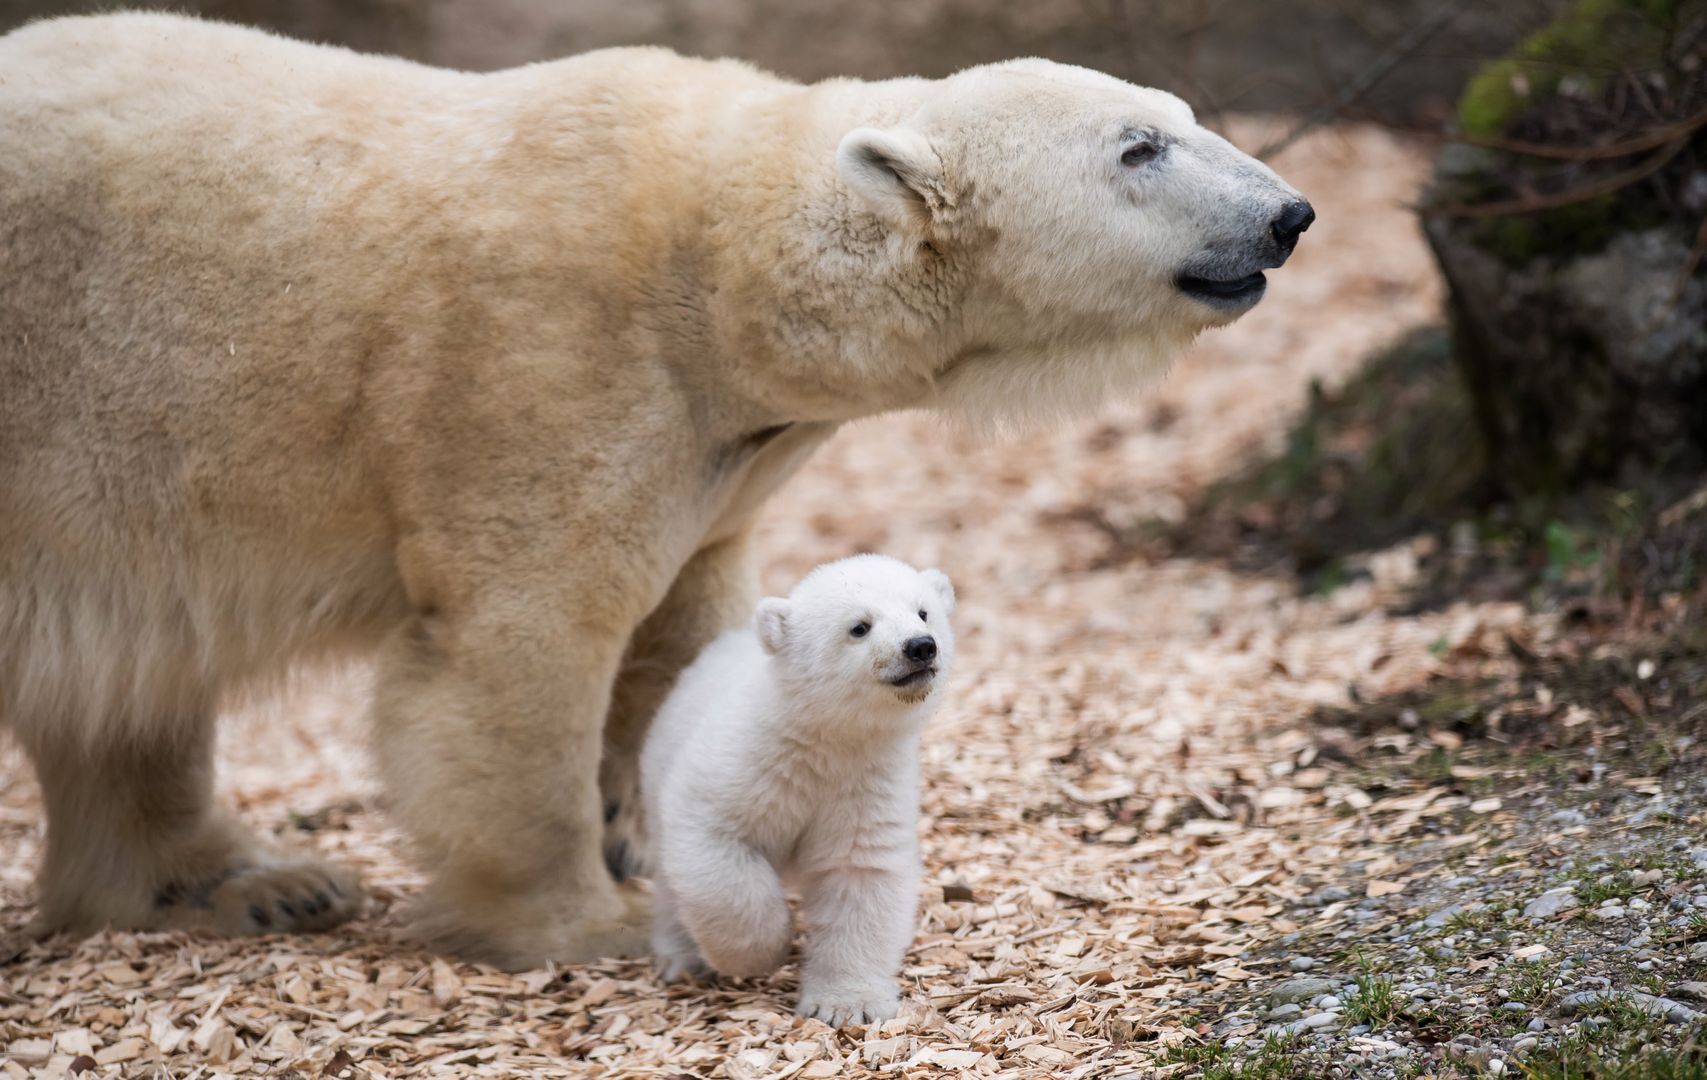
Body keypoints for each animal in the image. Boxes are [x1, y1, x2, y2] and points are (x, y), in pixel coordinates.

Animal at [0, 10, 1304, 969]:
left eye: (1187, 120)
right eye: (1138, 147)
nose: (1290, 214)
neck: (717, 264)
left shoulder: (721, 456)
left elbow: (689, 631)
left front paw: (658, 839)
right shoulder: (543, 367)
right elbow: (520, 647)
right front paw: (593, 917)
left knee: (127, 689)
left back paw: (251, 886)